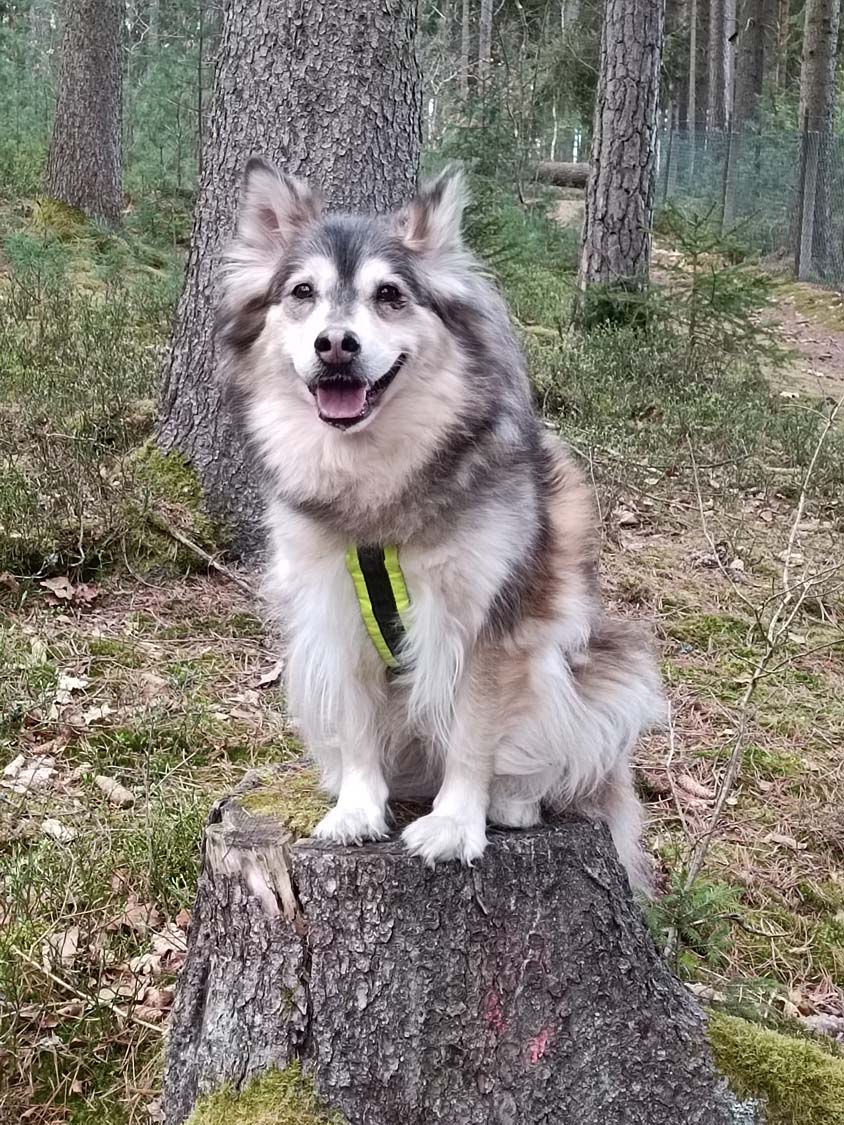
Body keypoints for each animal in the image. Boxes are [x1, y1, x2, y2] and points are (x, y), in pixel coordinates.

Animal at [217, 159, 664, 889]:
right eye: (303, 292)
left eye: (390, 295)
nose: (334, 344)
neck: (377, 485)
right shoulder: (334, 612)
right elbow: (358, 723)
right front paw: (358, 808)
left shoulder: (488, 623)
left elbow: (474, 735)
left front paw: (457, 823)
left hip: (598, 668)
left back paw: (513, 801)